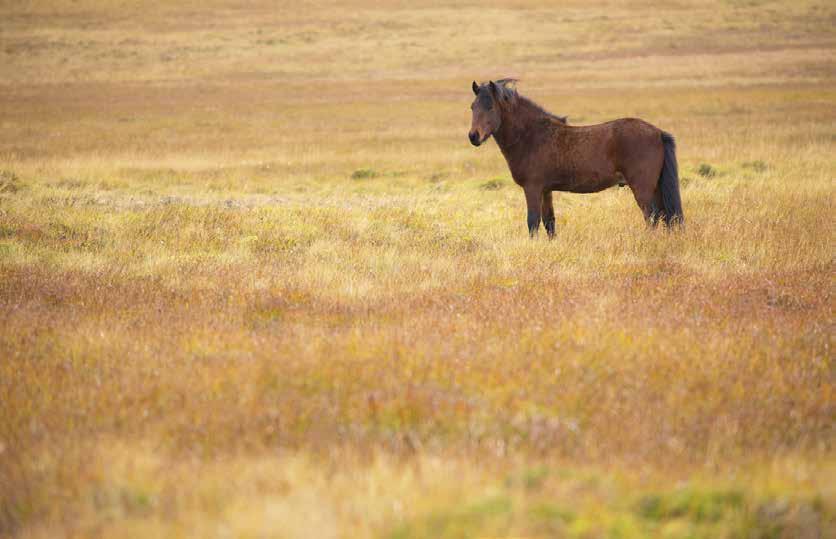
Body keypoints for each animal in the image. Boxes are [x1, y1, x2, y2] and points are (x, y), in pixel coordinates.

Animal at [466, 78, 684, 236]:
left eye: (490, 107)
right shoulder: (546, 190)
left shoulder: (532, 188)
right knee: (666, 216)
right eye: (472, 107)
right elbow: (549, 222)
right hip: (655, 187)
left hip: (643, 188)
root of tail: (658, 133)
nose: (473, 136)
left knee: (652, 217)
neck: (531, 136)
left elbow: (533, 222)